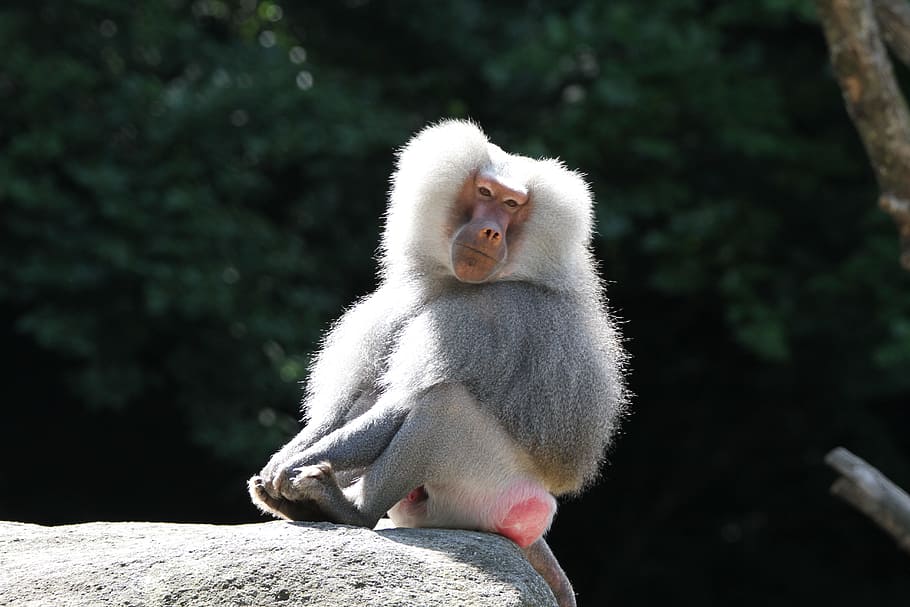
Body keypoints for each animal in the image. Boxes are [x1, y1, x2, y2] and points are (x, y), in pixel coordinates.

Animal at [248, 119, 628, 607]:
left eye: (511, 204)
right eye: (485, 193)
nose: (490, 233)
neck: (453, 284)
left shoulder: (483, 319)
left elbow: (402, 403)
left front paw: (287, 469)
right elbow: (346, 405)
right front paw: (283, 459)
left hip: (488, 489)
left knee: (442, 406)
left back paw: (347, 508)